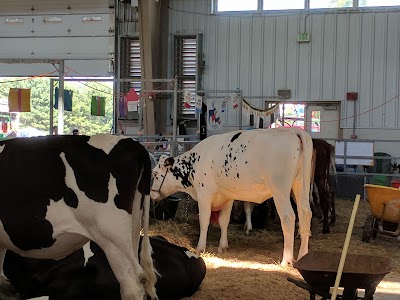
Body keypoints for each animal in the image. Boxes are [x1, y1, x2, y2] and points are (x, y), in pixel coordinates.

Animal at [152, 127, 314, 266]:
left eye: (155, 174)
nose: (152, 193)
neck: (196, 161)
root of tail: (292, 131)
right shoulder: (227, 197)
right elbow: (224, 221)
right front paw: (223, 246)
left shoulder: (204, 194)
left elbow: (204, 221)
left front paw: (200, 247)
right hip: (300, 186)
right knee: (305, 214)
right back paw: (303, 256)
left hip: (280, 190)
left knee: (288, 217)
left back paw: (286, 259)